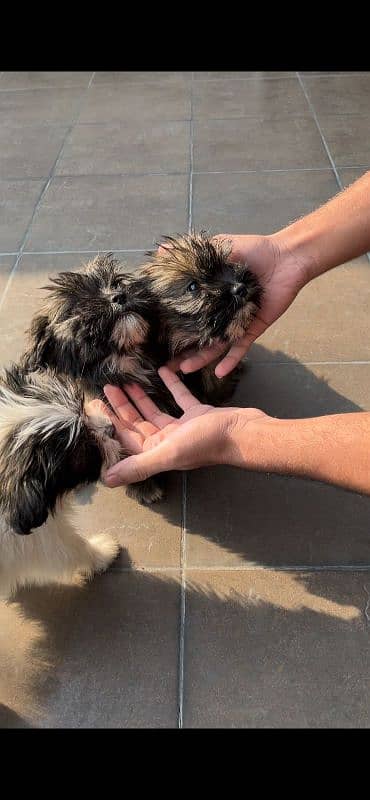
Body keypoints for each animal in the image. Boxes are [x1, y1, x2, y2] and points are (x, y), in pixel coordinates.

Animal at [0, 366, 123, 596]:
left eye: (82, 409)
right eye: (84, 451)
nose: (111, 428)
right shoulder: (38, 539)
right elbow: (70, 549)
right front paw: (102, 552)